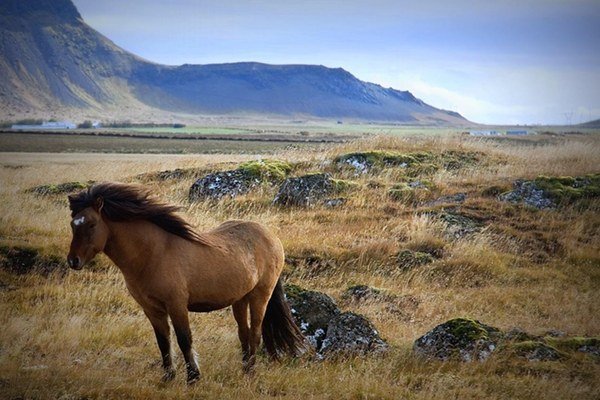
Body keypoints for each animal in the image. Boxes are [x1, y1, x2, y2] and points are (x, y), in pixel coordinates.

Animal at [67, 183, 304, 382]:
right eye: (72, 224)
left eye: (91, 224)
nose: (73, 261)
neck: (153, 254)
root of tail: (271, 237)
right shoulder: (152, 310)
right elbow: (163, 342)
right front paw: (168, 378)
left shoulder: (177, 305)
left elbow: (184, 340)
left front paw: (193, 378)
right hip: (240, 299)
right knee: (244, 333)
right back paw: (244, 369)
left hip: (260, 296)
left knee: (255, 332)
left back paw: (251, 373)